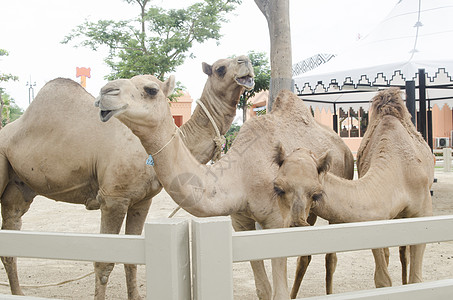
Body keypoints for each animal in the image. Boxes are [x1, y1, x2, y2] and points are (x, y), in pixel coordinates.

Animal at [0, 55, 254, 298]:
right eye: (220, 68)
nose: (247, 62)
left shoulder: (142, 201)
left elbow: (132, 260)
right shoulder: (113, 199)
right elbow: (104, 263)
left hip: (20, 187)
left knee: (12, 229)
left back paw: (18, 293)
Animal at [97, 75, 354, 300]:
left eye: (151, 90)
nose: (105, 92)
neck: (241, 174)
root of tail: (343, 147)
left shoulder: (276, 221)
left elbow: (278, 291)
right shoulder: (241, 221)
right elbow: (263, 289)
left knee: (330, 256)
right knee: (306, 253)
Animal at [274, 87, 432, 298]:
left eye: (316, 193)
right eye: (278, 188)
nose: (295, 225)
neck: (400, 169)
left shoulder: (423, 213)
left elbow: (416, 279)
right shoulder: (376, 214)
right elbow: (382, 279)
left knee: (402, 252)